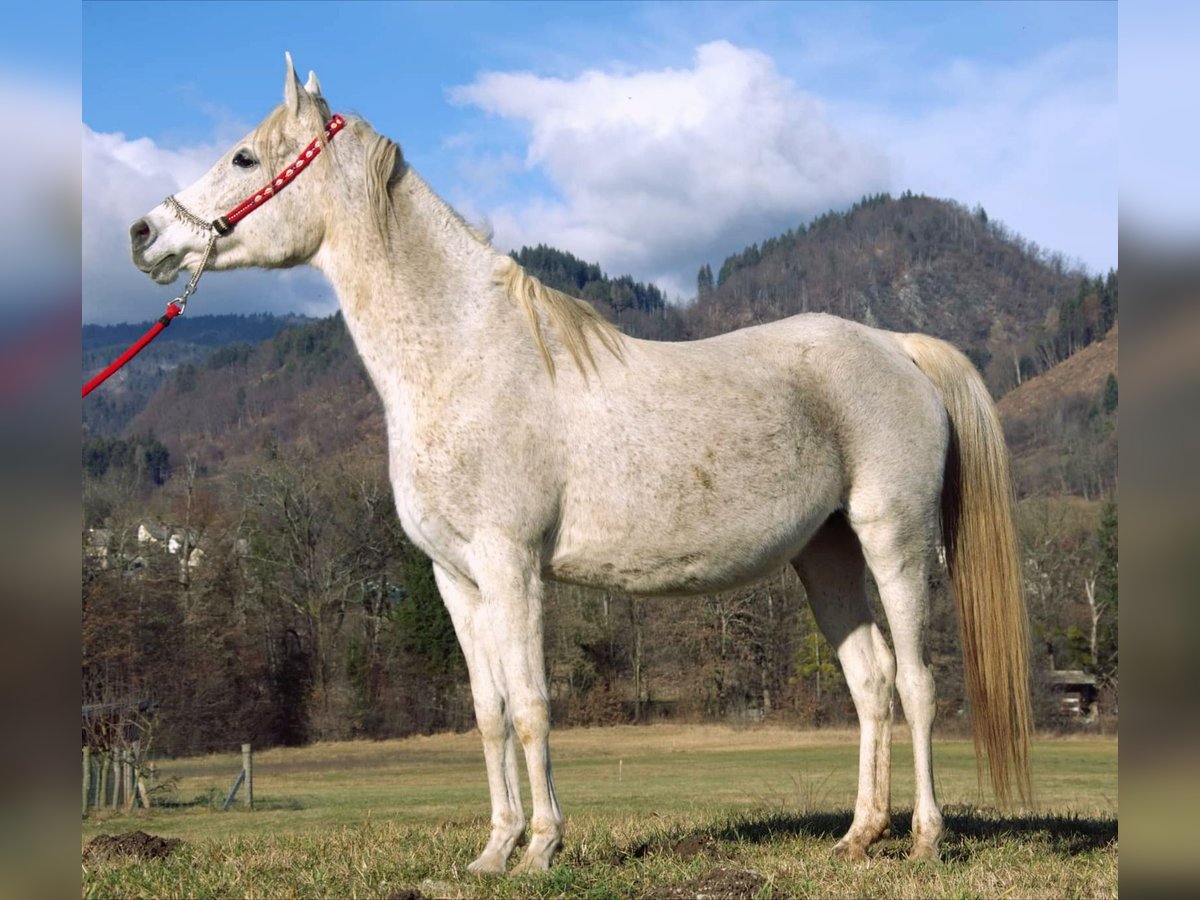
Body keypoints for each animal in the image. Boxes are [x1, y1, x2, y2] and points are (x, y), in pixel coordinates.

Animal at [129, 56, 1032, 873]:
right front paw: (493, 852)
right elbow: (489, 711)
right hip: (828, 554)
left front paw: (541, 848)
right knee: (870, 684)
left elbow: (532, 706)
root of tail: (896, 348)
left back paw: (924, 839)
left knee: (915, 683)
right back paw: (858, 837)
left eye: (245, 158)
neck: (467, 355)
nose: (144, 235)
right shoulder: (455, 579)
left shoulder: (512, 565)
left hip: (894, 541)